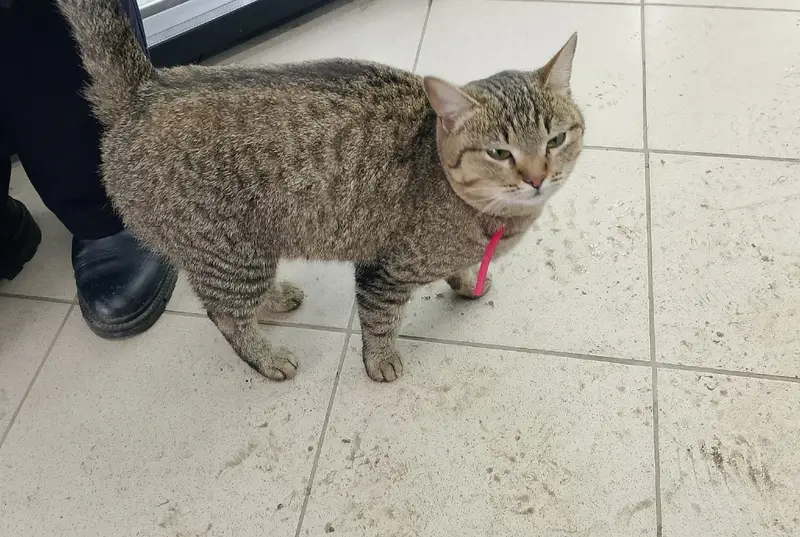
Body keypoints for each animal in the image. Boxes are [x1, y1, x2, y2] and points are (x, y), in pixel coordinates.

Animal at [57, 0, 585, 382]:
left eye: (555, 140)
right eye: (500, 153)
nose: (537, 177)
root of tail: (144, 90)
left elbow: (457, 269)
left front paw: (465, 282)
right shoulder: (384, 269)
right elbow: (379, 319)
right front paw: (381, 361)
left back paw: (275, 298)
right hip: (231, 254)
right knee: (225, 315)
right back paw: (266, 356)